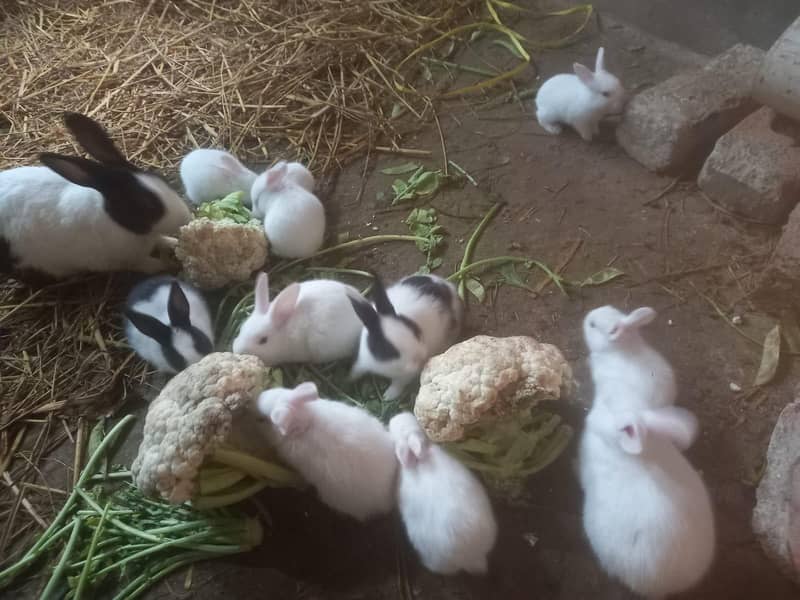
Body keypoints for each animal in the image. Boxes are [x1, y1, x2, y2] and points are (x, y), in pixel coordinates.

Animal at [0, 112, 191, 280]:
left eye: (162, 178)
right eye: (145, 204)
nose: (186, 217)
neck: (114, 219)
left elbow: (162, 240)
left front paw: (173, 243)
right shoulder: (122, 260)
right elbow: (147, 264)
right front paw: (166, 265)